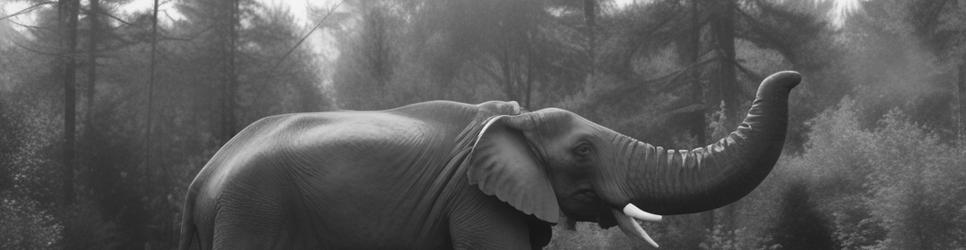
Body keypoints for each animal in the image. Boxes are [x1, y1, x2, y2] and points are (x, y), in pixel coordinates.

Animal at [180, 71, 800, 249]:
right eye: (582, 151)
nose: (791, 77)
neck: (515, 121)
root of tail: (201, 179)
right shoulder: (476, 201)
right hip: (254, 213)